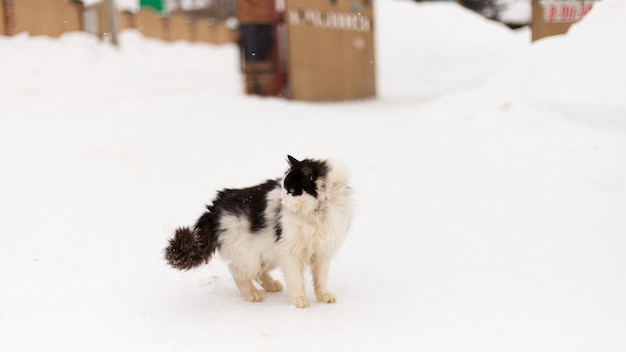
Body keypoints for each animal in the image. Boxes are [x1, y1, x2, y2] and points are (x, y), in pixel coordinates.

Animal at [165, 155, 352, 306]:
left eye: (292, 190)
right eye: (283, 188)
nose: (280, 199)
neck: (316, 211)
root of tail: (215, 206)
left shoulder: (322, 252)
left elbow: (321, 279)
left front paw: (324, 296)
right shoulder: (290, 252)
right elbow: (296, 279)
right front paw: (299, 300)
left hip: (268, 252)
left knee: (258, 273)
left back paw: (272, 285)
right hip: (250, 255)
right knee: (237, 271)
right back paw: (252, 294)